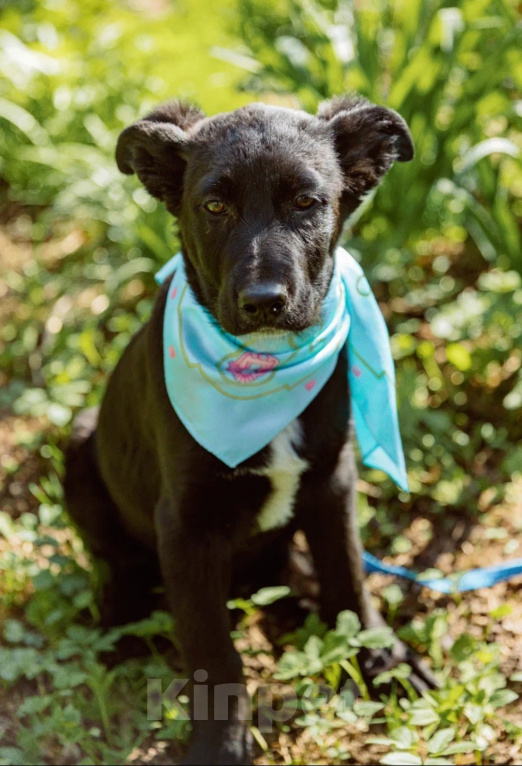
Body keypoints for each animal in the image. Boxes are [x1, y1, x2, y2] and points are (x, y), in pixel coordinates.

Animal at [64, 97, 430, 766]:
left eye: (307, 202)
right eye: (214, 207)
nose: (263, 301)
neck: (265, 368)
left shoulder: (333, 483)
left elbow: (350, 580)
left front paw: (383, 660)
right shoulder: (184, 527)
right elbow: (214, 651)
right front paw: (219, 741)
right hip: (81, 442)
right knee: (116, 562)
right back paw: (119, 624)